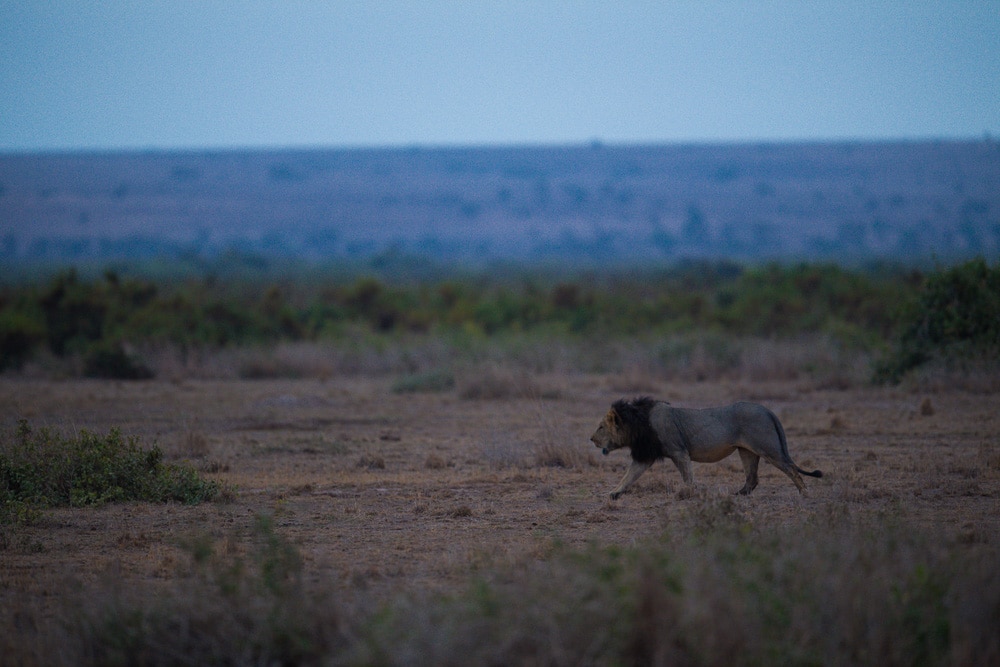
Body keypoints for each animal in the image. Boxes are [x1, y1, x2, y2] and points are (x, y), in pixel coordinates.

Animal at [592, 394, 820, 498]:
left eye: (601, 427)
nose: (591, 439)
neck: (639, 423)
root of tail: (767, 410)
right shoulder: (645, 456)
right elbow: (628, 476)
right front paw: (614, 493)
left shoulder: (678, 451)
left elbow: (687, 475)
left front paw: (688, 492)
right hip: (746, 451)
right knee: (753, 478)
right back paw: (739, 494)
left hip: (768, 448)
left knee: (790, 468)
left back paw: (805, 493)